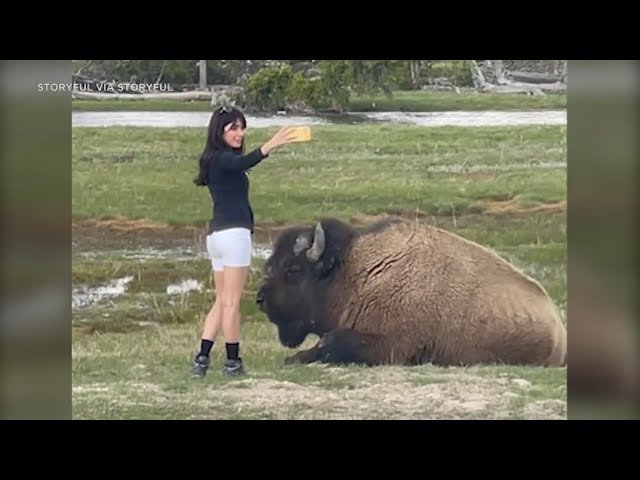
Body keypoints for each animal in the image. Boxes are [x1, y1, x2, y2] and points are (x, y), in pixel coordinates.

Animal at [255, 218, 564, 368]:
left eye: (293, 269)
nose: (261, 300)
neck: (355, 272)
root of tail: (558, 326)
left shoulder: (390, 345)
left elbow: (331, 341)